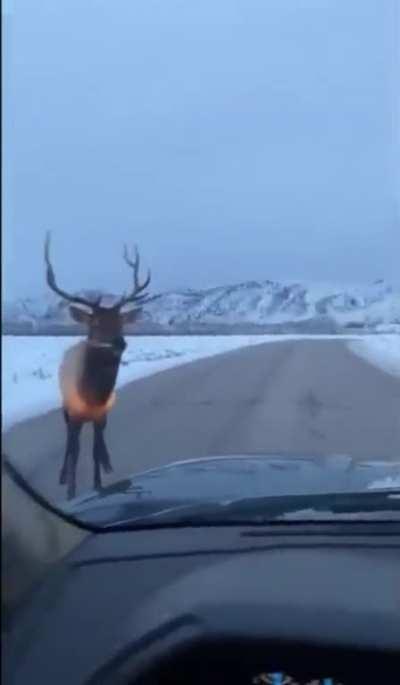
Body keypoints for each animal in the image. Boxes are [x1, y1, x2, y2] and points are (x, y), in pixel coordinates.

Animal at [44, 232, 151, 500]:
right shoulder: (73, 413)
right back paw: (63, 475)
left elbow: (94, 449)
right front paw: (71, 493)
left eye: (120, 321)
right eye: (95, 323)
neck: (92, 394)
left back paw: (107, 463)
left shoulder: (102, 414)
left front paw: (98, 484)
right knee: (70, 444)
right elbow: (74, 451)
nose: (119, 342)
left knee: (97, 443)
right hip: (66, 407)